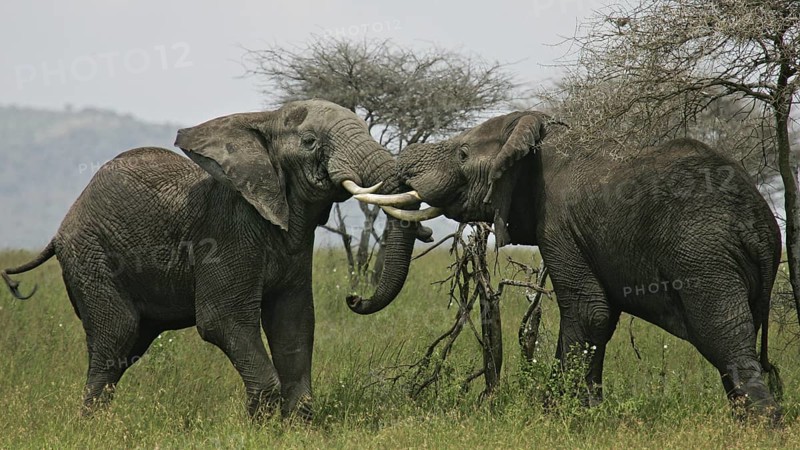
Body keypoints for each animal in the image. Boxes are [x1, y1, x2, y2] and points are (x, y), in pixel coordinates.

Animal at [1, 99, 421, 420]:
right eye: (309, 140)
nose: (354, 298)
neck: (264, 119)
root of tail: (63, 225)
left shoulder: (295, 244)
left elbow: (294, 324)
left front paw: (295, 428)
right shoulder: (227, 230)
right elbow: (223, 319)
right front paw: (261, 430)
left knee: (128, 348)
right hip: (91, 255)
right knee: (114, 339)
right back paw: (92, 427)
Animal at [355, 111, 783, 420]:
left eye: (462, 154)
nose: (353, 299)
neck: (534, 133)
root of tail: (759, 223)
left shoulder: (560, 225)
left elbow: (590, 311)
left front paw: (563, 414)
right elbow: (596, 318)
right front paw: (578, 411)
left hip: (703, 255)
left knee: (723, 335)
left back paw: (761, 424)